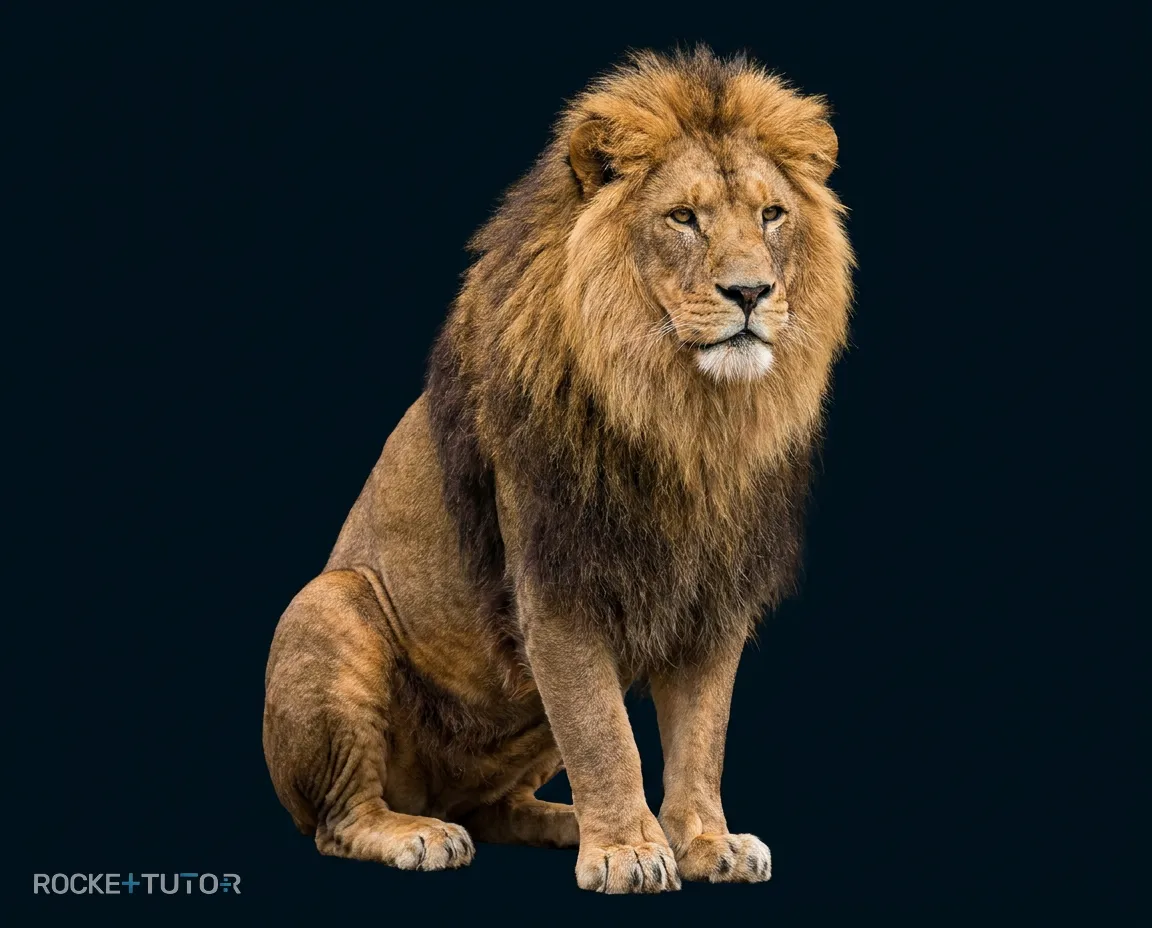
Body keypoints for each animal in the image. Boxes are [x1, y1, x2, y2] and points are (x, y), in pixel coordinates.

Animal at [263, 47, 853, 894]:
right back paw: (419, 833)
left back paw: (564, 820)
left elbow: (702, 736)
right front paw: (630, 852)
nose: (751, 292)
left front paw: (704, 840)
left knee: (494, 806)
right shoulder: (556, 585)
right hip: (330, 605)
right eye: (683, 218)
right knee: (341, 819)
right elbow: (604, 731)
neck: (686, 417)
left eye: (772, 215)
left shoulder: (714, 596)